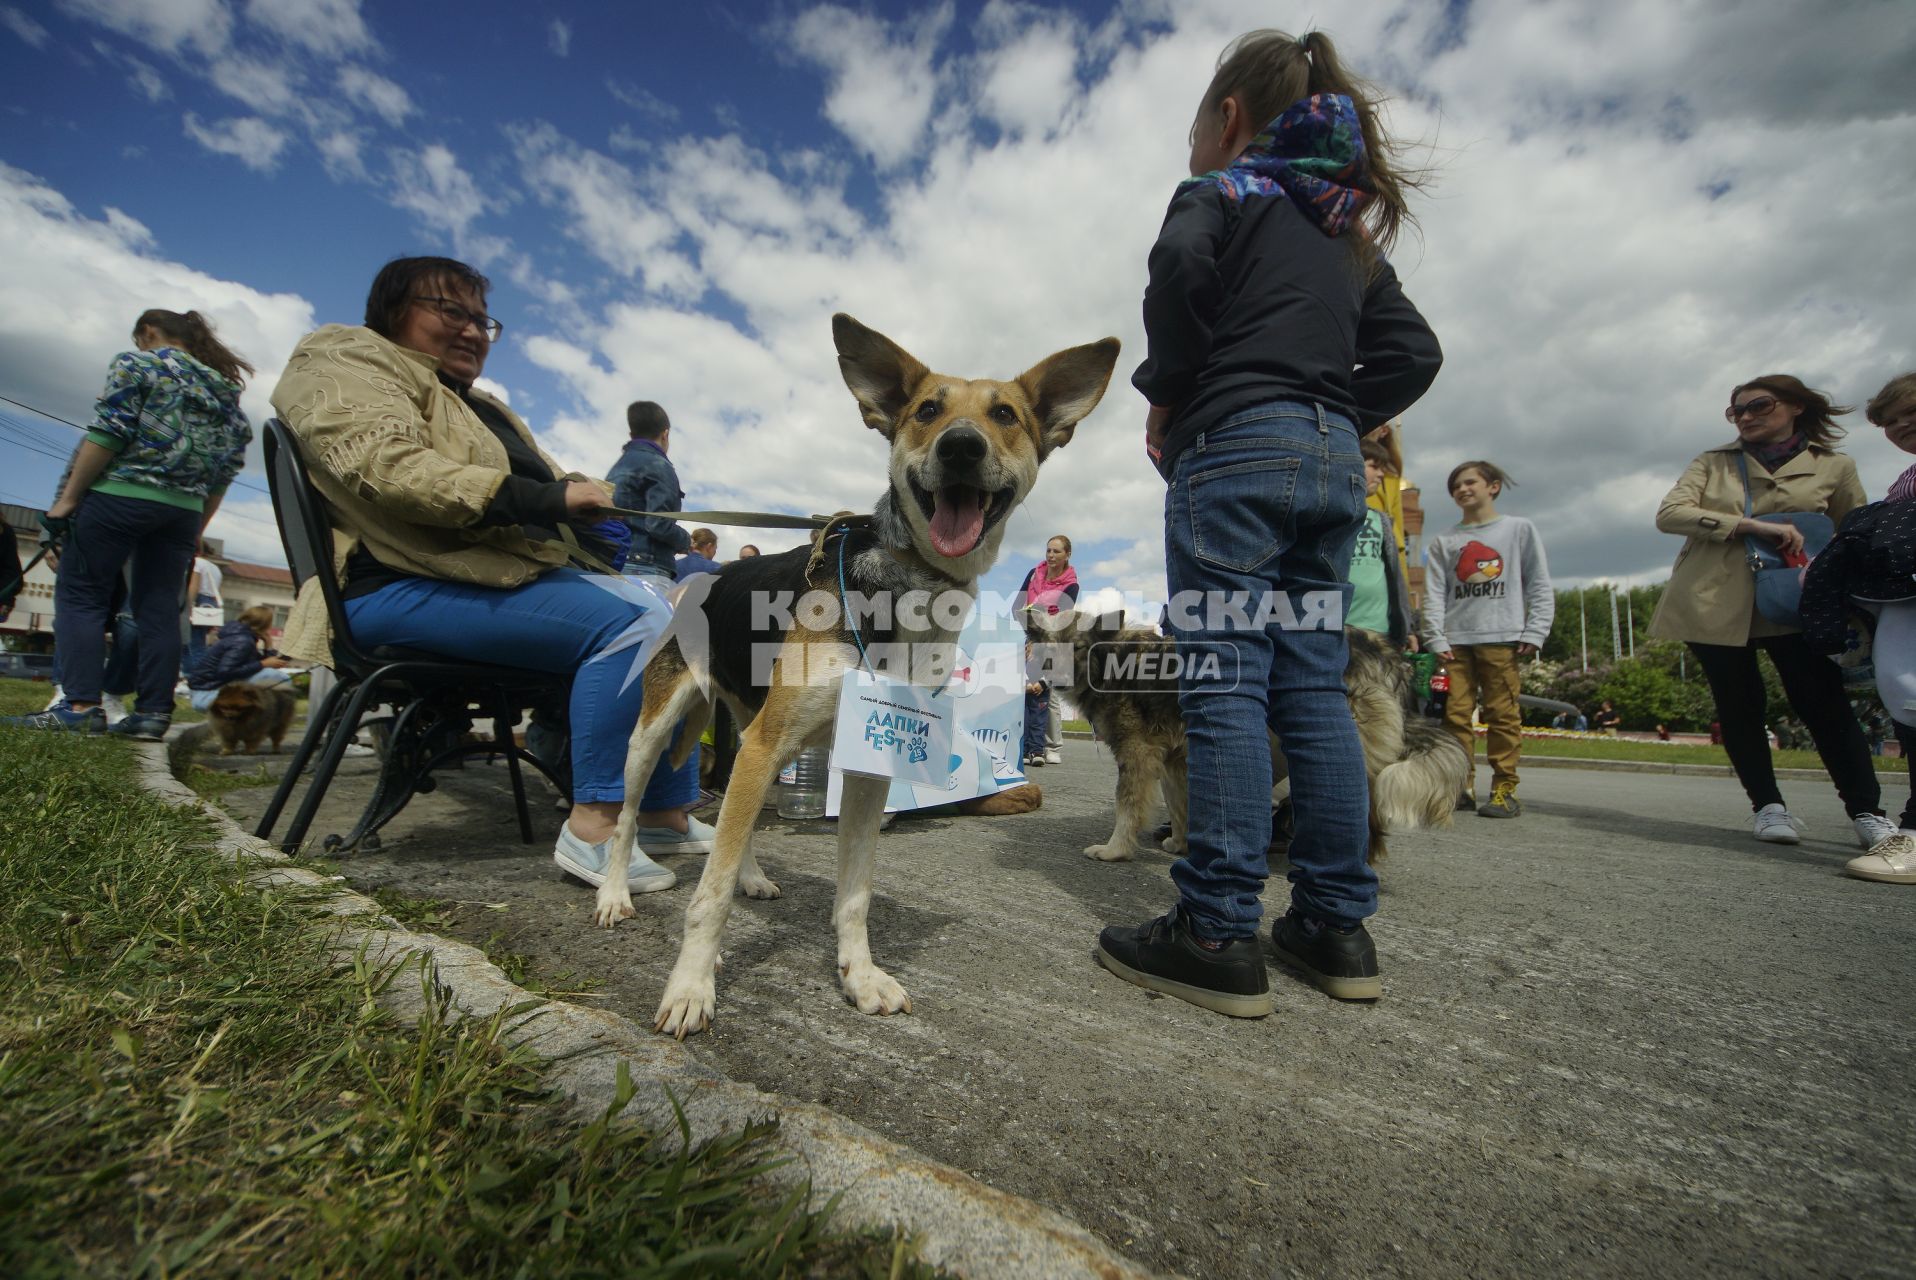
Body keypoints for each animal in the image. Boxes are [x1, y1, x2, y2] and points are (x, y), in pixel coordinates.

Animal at [590, 312, 1118, 1042]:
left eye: (1005, 414)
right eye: (927, 410)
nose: (960, 447)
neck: (909, 583)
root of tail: (705, 576)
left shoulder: (867, 764)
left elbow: (856, 894)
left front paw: (858, 976)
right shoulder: (769, 747)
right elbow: (709, 892)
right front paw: (692, 986)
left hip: (750, 733)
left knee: (731, 818)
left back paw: (753, 876)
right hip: (660, 730)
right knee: (626, 817)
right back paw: (614, 893)